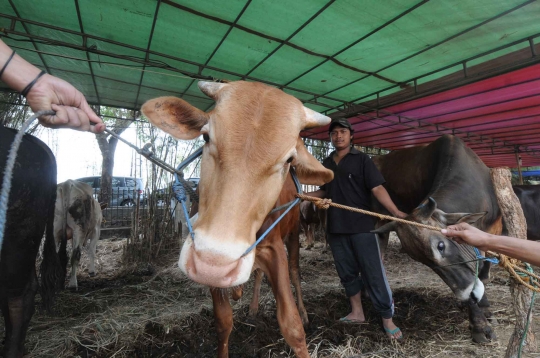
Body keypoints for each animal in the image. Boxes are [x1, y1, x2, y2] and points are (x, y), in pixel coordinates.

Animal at [141, 81, 334, 358]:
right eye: (206, 136)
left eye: (289, 160)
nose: (213, 263)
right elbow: (223, 322)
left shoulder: (275, 249)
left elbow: (292, 325)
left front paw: (299, 322)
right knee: (257, 274)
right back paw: (251, 306)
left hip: (294, 233)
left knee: (295, 271)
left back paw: (304, 311)